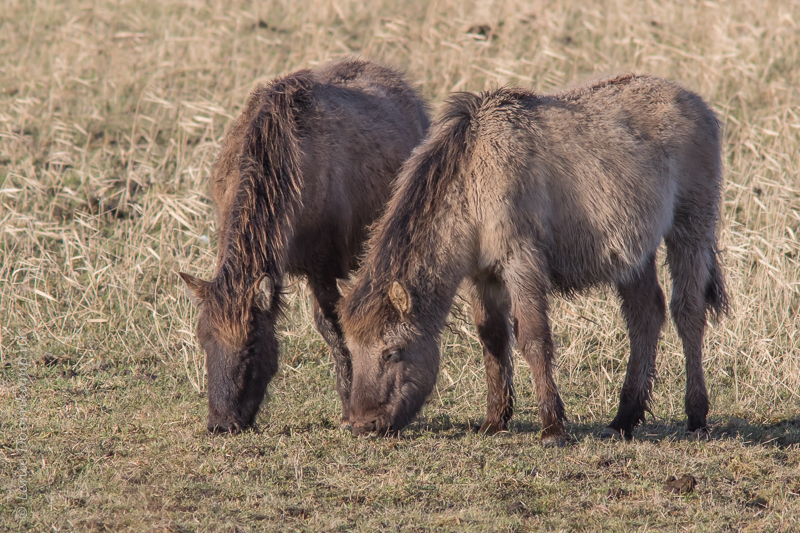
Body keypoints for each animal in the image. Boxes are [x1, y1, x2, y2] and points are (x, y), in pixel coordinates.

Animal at [181, 58, 432, 432]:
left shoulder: (322, 266)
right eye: (203, 338)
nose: (221, 424)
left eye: (252, 345)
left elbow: (334, 328)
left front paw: (348, 409)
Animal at [340, 72, 728, 442]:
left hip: (690, 229)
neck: (475, 173)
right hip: (634, 253)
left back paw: (696, 416)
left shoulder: (521, 263)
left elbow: (532, 338)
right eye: (352, 351)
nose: (363, 424)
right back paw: (623, 420)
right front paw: (494, 422)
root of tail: (696, 103)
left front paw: (552, 428)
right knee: (645, 316)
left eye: (392, 352)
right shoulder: (482, 275)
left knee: (688, 314)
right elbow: (493, 339)